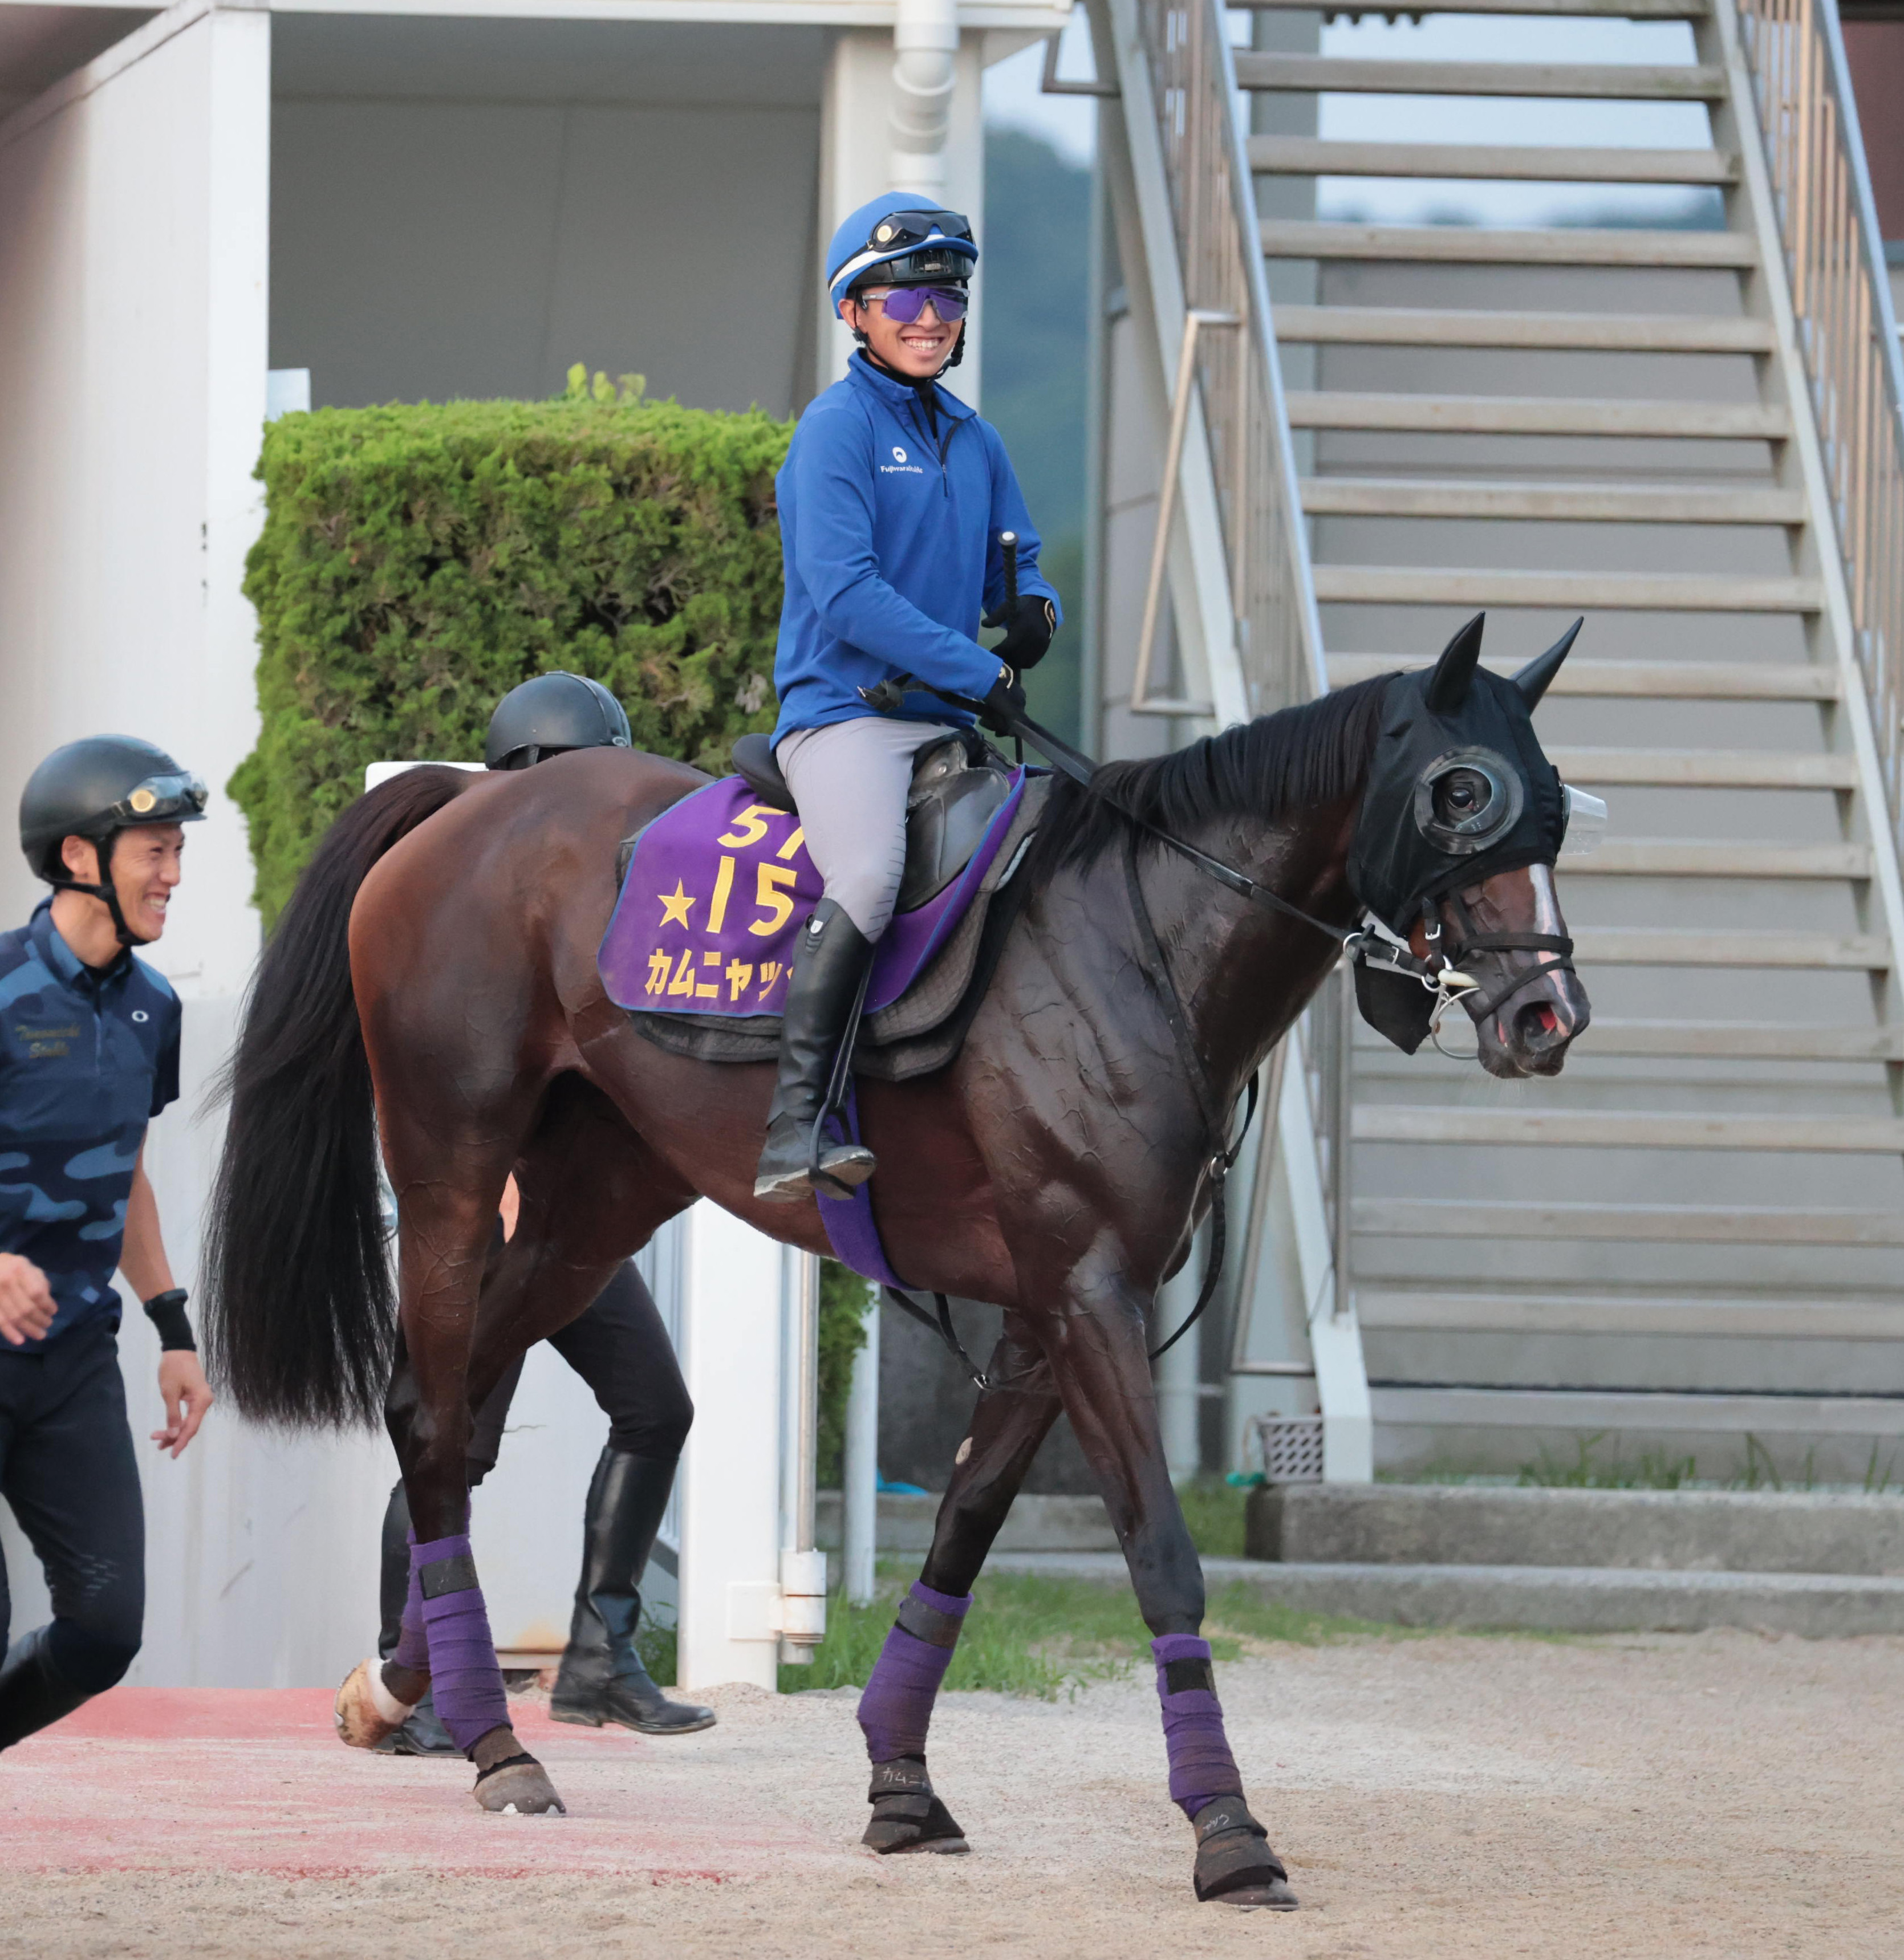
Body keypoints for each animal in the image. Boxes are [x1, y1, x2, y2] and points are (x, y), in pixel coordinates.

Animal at [203, 614, 1590, 1904]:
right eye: (1459, 792)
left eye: (1554, 798)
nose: (1546, 1017)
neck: (1138, 937)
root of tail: (468, 797)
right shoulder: (1089, 1294)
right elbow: (1162, 1558)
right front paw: (1227, 1830)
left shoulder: (1045, 1312)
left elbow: (961, 1531)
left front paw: (900, 1782)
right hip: (449, 1173)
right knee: (435, 1415)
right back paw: (496, 1744)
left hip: (587, 1211)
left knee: (454, 1419)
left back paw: (399, 1688)